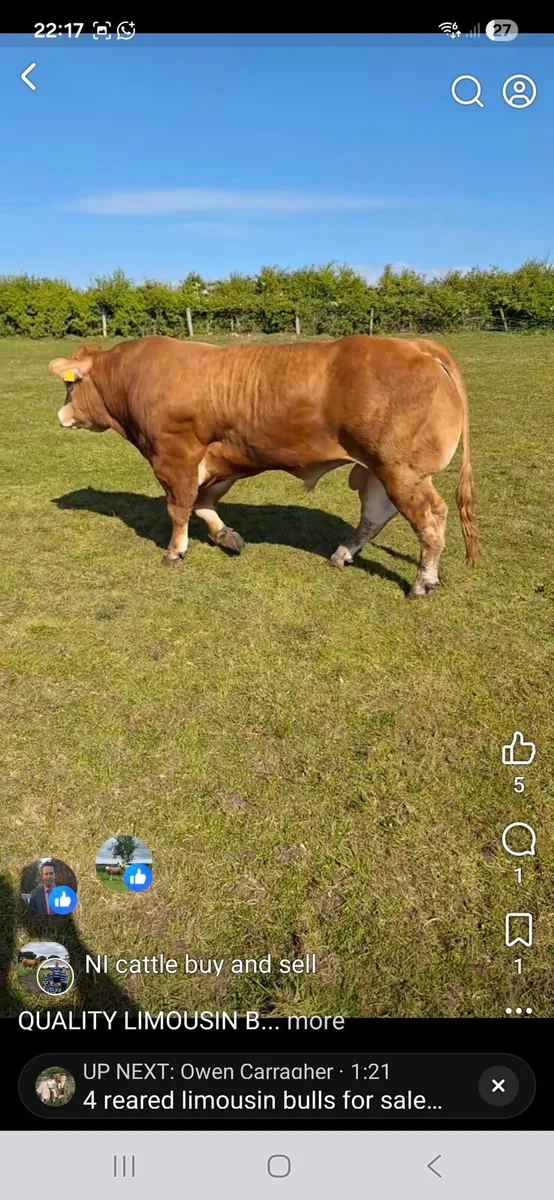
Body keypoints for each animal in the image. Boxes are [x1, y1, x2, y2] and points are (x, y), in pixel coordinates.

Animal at [50, 335, 479, 598]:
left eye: (70, 385)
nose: (61, 415)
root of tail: (411, 344)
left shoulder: (174, 456)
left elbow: (180, 507)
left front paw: (175, 551)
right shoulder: (222, 458)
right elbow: (203, 504)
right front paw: (226, 536)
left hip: (401, 470)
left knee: (430, 520)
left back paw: (423, 582)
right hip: (378, 469)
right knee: (375, 516)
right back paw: (342, 554)